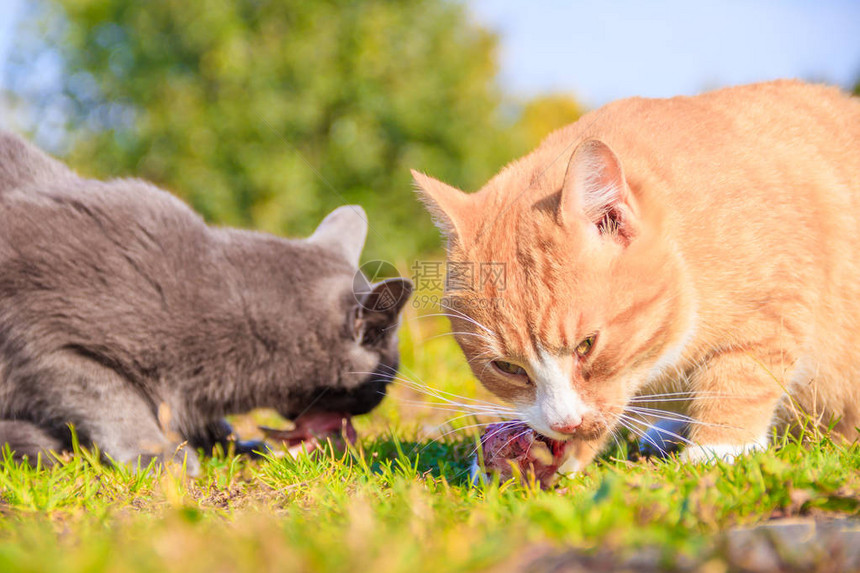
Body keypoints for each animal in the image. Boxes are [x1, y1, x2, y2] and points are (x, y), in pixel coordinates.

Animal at [0, 131, 414, 474]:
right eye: (387, 376)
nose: (378, 400)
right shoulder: (46, 339)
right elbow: (113, 398)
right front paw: (158, 454)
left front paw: (234, 444)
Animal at [410, 80, 860, 474]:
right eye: (507, 367)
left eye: (587, 345)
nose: (565, 423)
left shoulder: (776, 306)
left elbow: (739, 376)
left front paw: (718, 448)